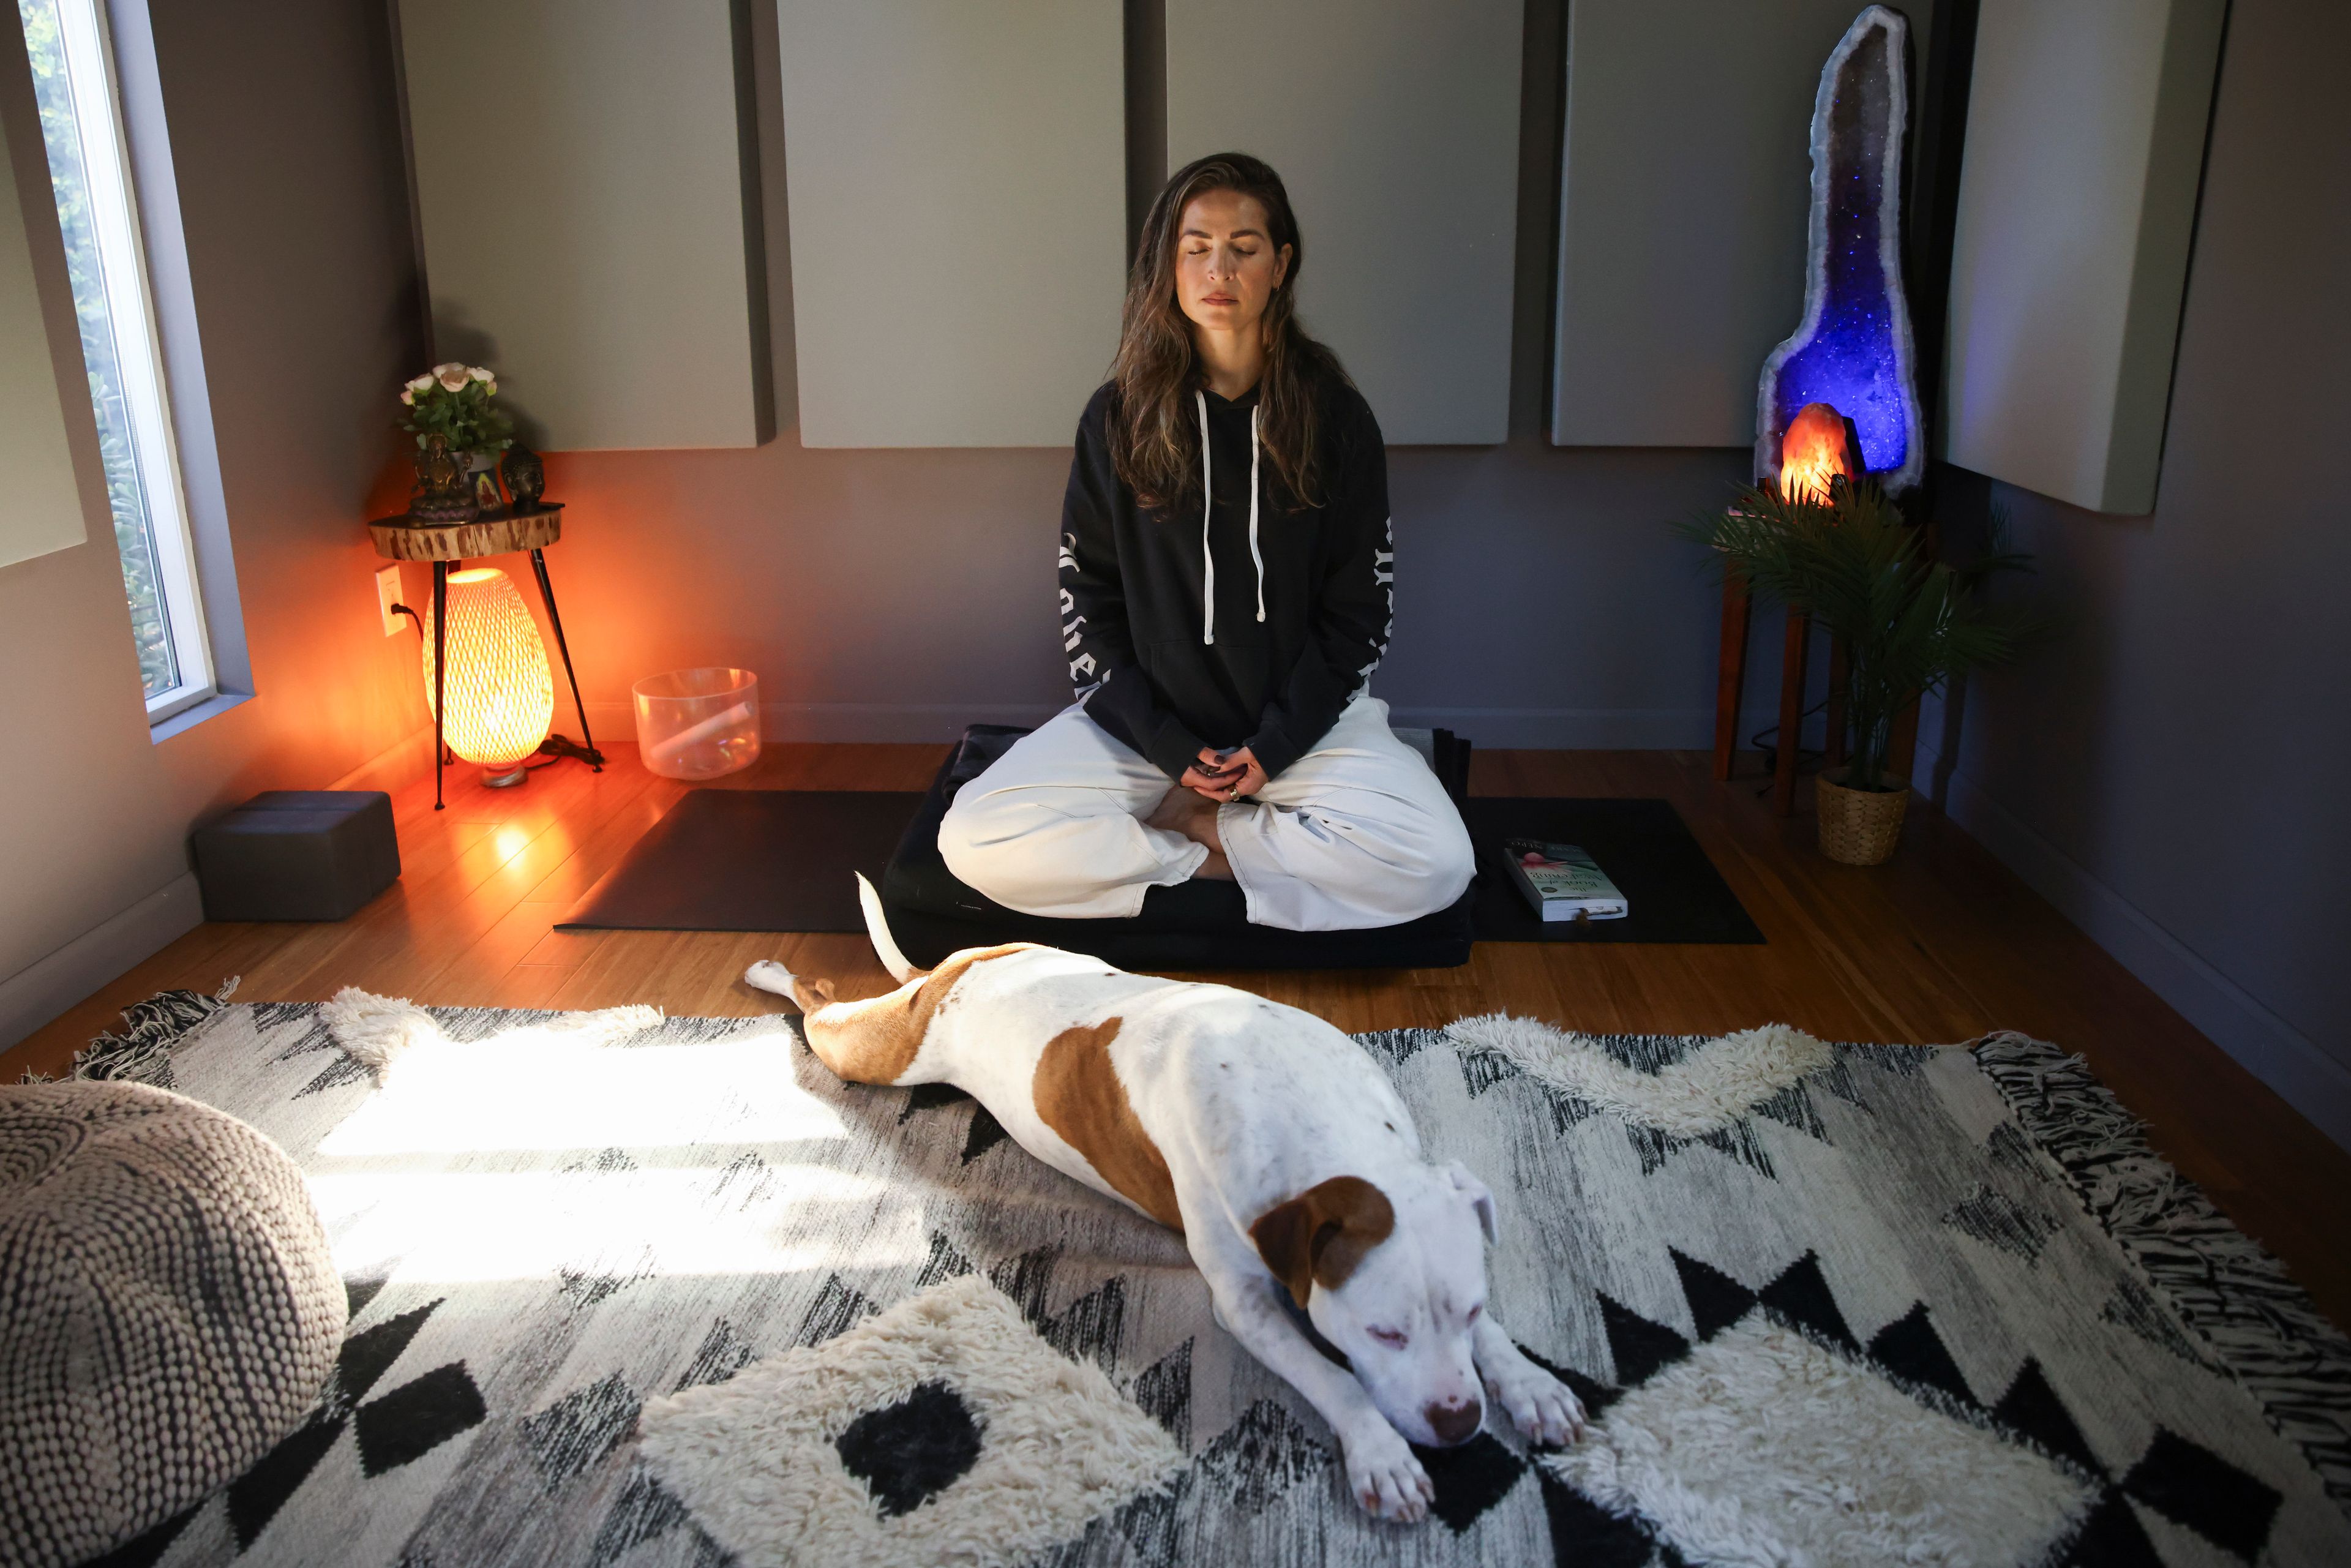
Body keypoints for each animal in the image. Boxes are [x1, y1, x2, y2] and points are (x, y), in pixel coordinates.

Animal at [743, 879, 1589, 1523]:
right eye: (1383, 1332)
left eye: (1472, 1308)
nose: (1461, 1420)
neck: (1317, 1112)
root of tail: (968, 959)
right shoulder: (1245, 1302)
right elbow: (1334, 1377)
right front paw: (1379, 1450)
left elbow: (1493, 1340)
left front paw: (1530, 1383)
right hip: (877, 1052)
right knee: (817, 1003)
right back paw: (767, 970)